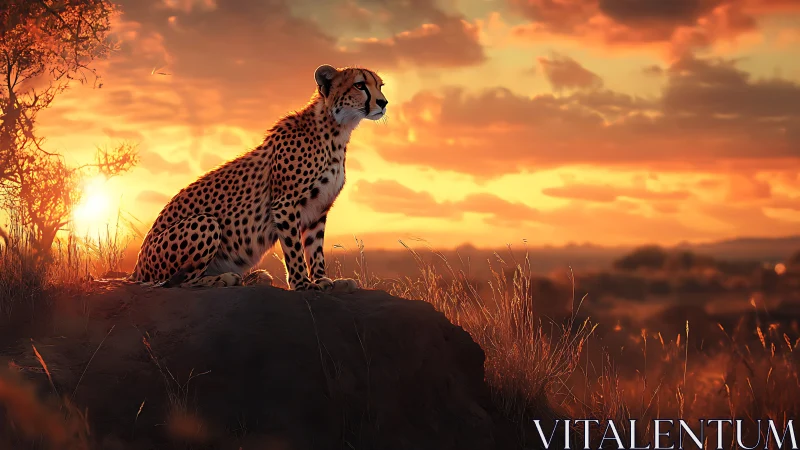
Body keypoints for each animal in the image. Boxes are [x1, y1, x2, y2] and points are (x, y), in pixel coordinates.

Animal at [127, 65, 388, 292]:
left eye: (380, 85)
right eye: (360, 85)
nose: (384, 103)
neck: (336, 130)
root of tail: (136, 269)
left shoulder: (318, 209)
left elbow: (315, 250)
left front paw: (325, 281)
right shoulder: (285, 203)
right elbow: (294, 249)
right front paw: (302, 284)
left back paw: (255, 276)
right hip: (205, 223)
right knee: (177, 282)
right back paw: (227, 278)